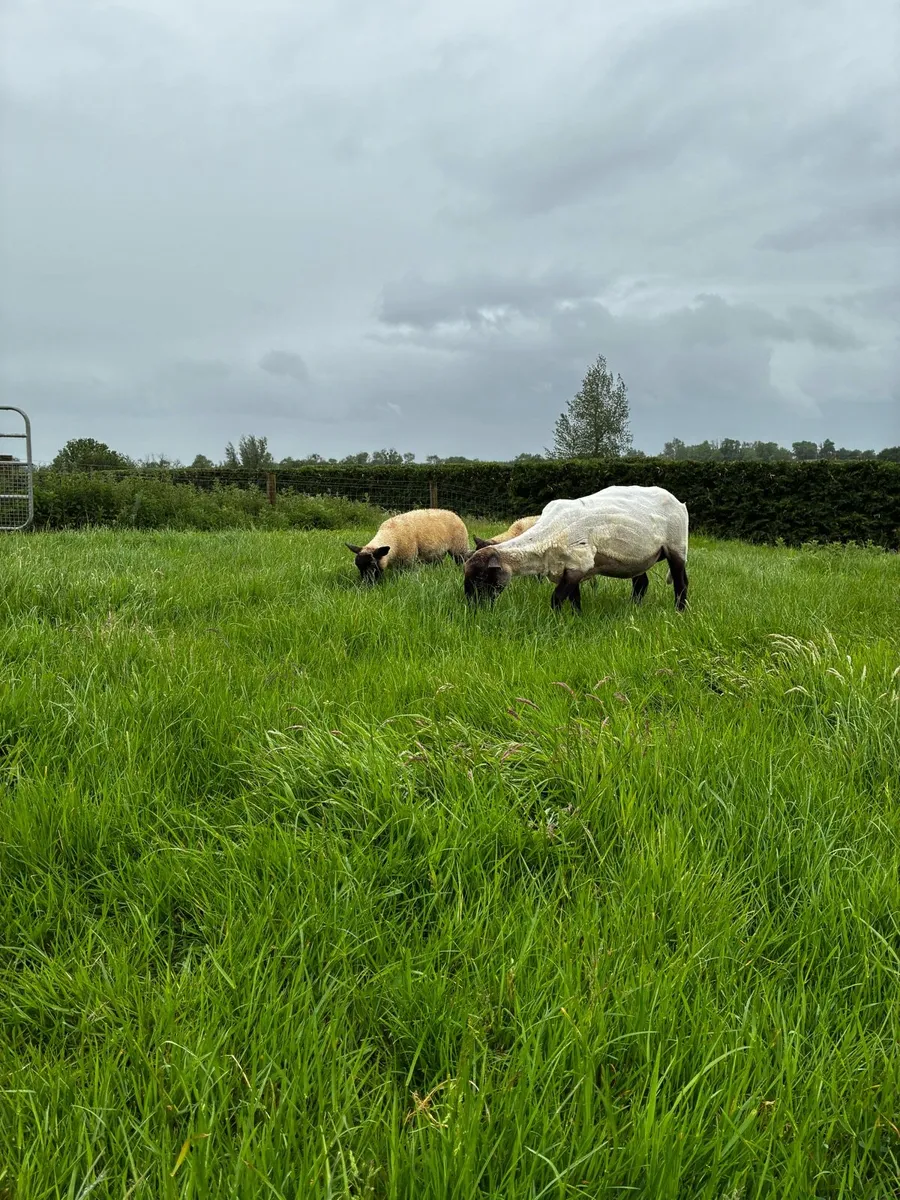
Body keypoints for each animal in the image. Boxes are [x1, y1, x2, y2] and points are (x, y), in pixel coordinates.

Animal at [462, 485, 689, 611]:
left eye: (481, 578)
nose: (473, 608)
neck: (545, 538)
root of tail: (679, 502)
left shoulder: (578, 565)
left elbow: (556, 599)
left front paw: (556, 622)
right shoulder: (570, 567)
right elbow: (574, 599)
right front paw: (576, 618)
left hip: (676, 546)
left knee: (681, 583)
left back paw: (679, 611)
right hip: (636, 559)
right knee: (641, 584)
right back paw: (633, 608)